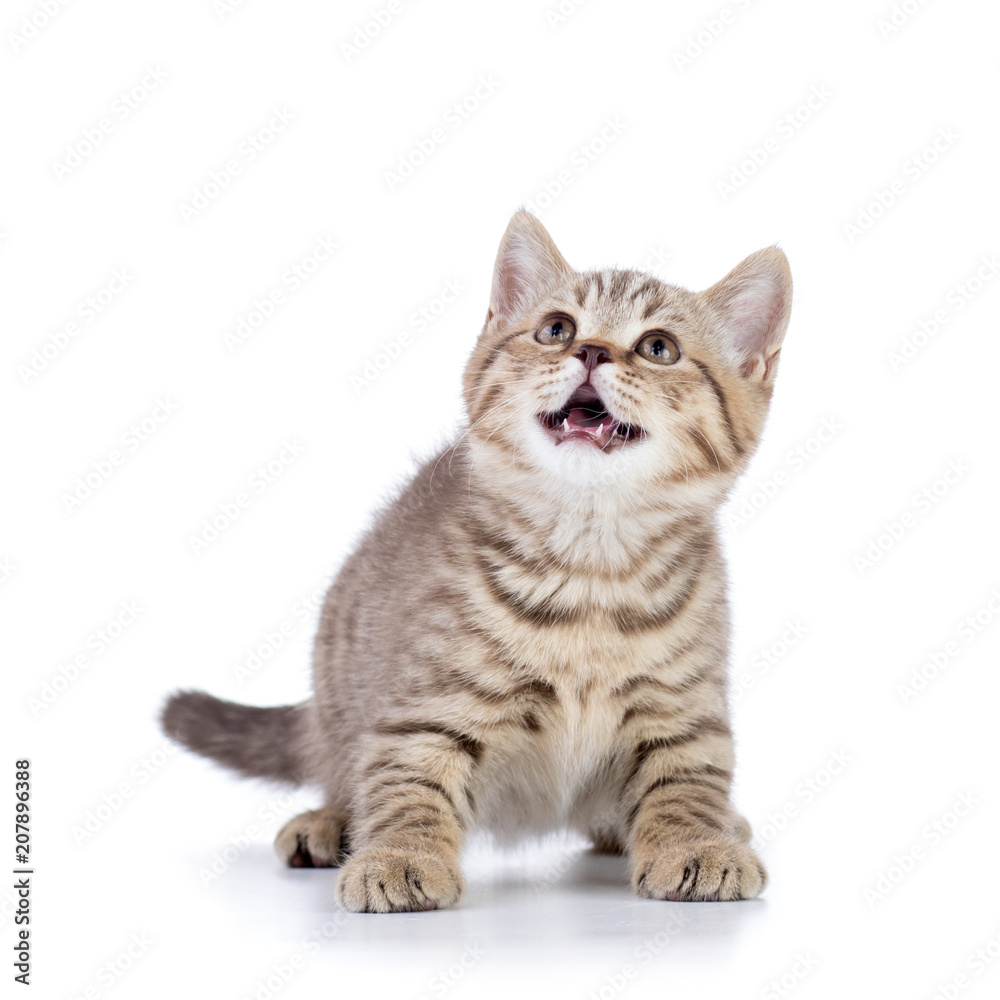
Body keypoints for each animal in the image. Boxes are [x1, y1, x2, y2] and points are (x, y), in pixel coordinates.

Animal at [162, 211, 788, 916]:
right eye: (556, 329)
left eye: (659, 348)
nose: (592, 351)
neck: (590, 561)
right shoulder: (426, 707)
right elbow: (408, 782)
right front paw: (400, 857)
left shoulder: (684, 711)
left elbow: (686, 783)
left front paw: (698, 842)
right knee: (342, 769)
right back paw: (327, 821)